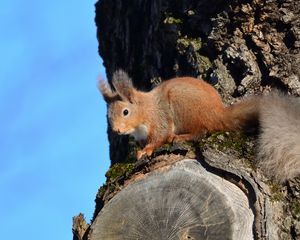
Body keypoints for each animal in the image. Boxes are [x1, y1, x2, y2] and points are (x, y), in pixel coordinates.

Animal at [99, 70, 300, 183]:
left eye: (125, 112)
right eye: (108, 116)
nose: (117, 130)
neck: (145, 109)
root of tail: (218, 114)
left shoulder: (159, 118)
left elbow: (160, 135)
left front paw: (146, 150)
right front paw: (138, 151)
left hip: (183, 105)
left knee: (202, 131)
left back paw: (180, 136)